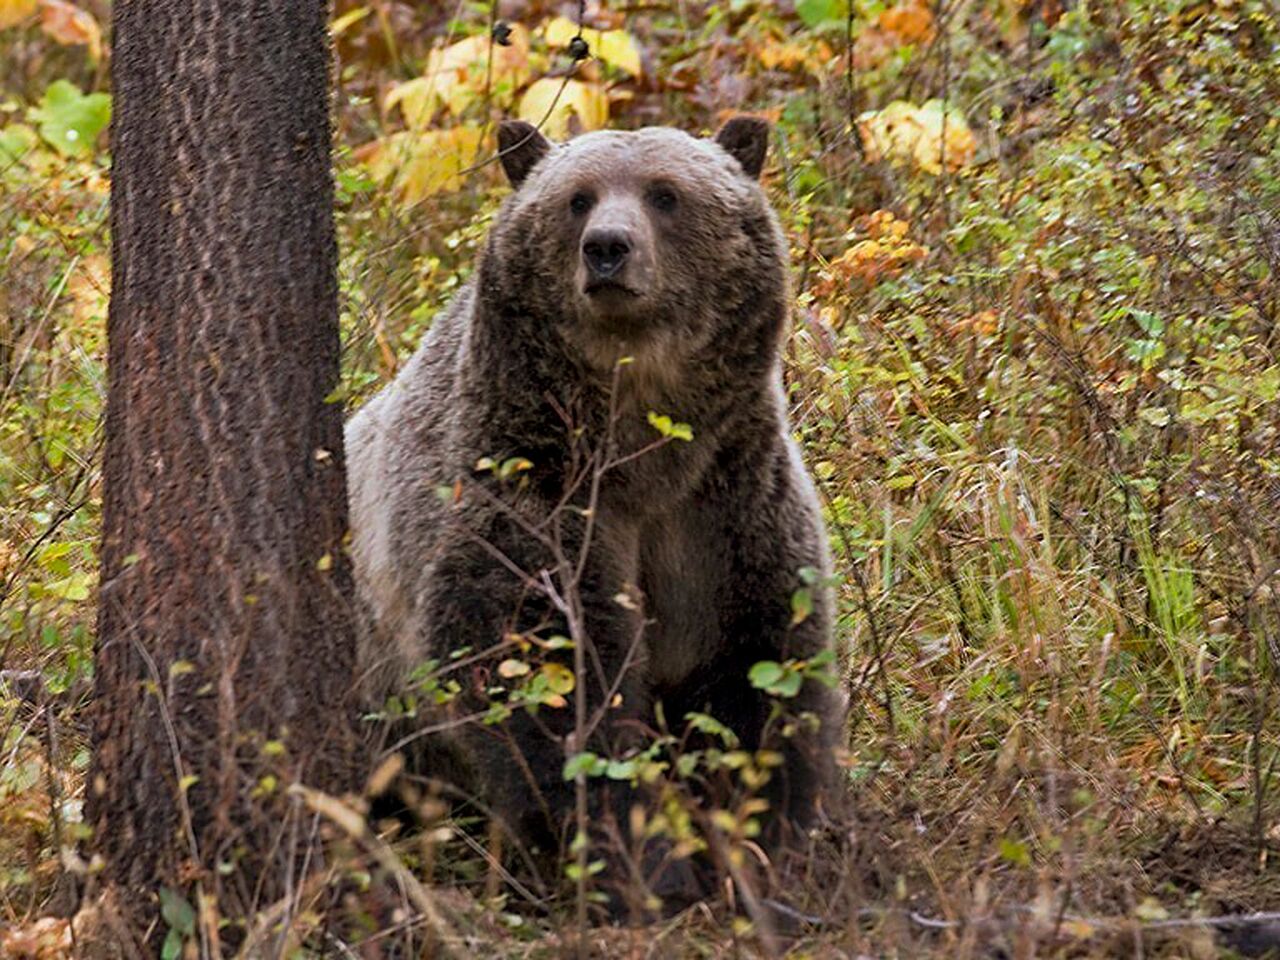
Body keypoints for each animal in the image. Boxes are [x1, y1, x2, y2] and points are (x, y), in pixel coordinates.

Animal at [345, 116, 839, 906]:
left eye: (665, 193)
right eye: (577, 197)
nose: (607, 247)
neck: (641, 446)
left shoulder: (725, 506)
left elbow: (758, 669)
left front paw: (762, 839)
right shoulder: (530, 490)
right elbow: (548, 677)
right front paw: (638, 860)